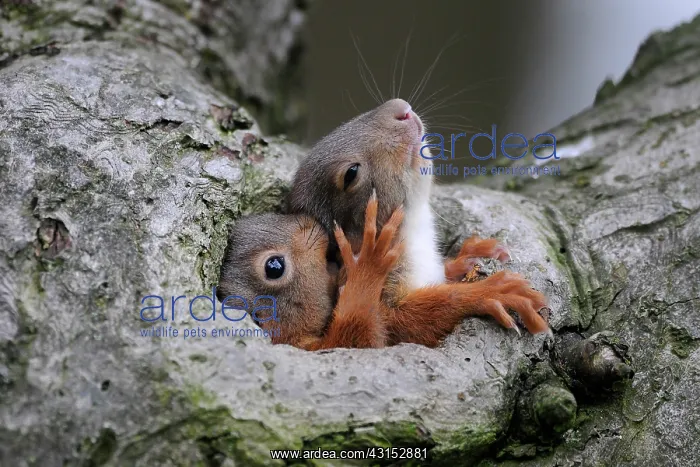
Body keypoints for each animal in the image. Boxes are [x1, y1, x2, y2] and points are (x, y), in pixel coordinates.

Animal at [287, 98, 550, 347]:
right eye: (351, 173)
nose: (401, 108)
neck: (415, 231)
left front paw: (466, 257)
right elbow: (400, 325)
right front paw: (487, 292)